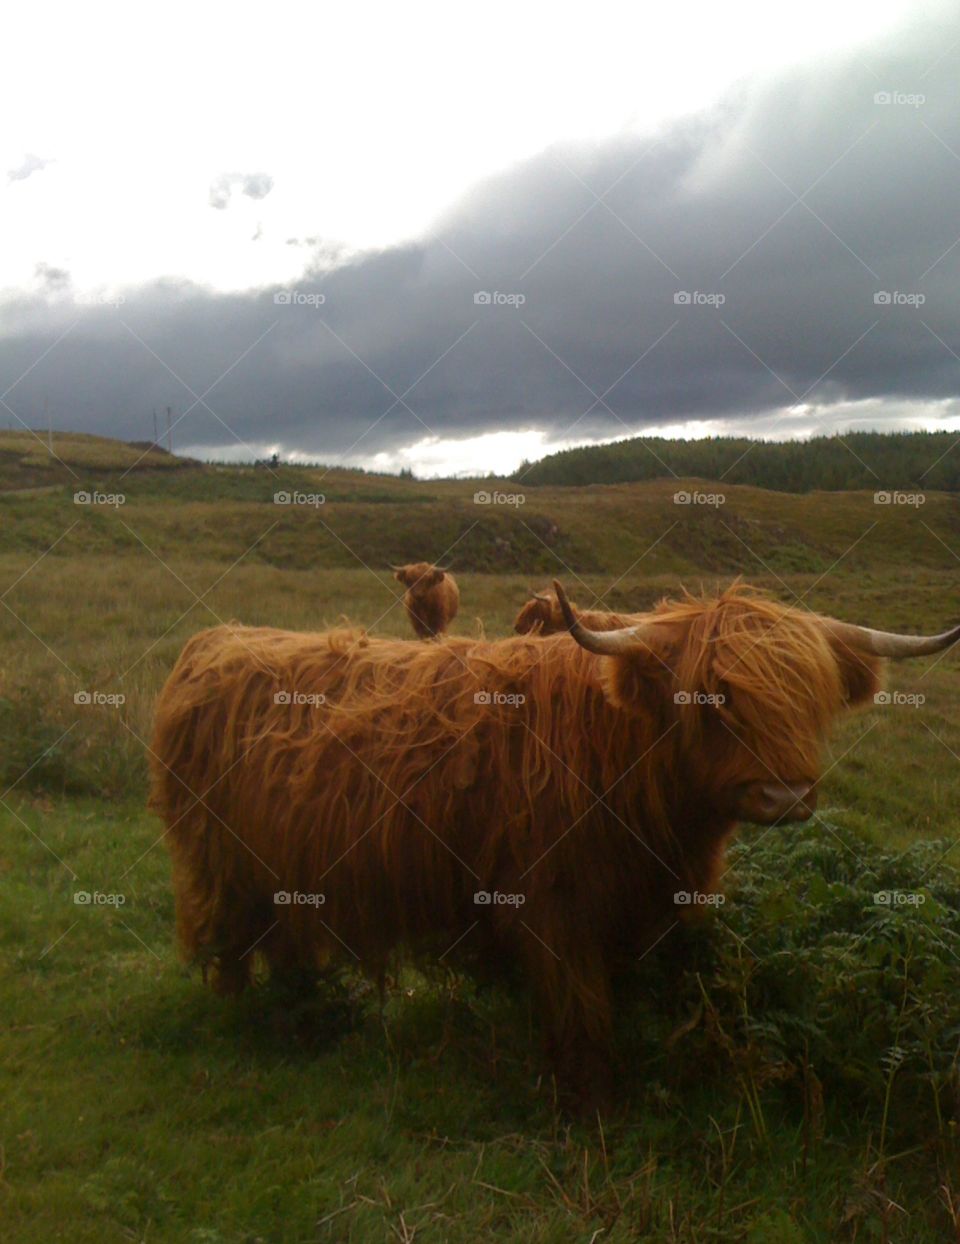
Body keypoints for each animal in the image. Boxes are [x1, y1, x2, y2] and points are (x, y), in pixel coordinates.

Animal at [150, 579, 960, 1111]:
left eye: (812, 699)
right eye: (715, 697)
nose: (784, 797)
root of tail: (212, 642)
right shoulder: (553, 907)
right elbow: (581, 1007)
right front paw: (589, 1098)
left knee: (283, 943)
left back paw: (308, 1014)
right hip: (224, 865)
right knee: (232, 946)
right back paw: (261, 1020)